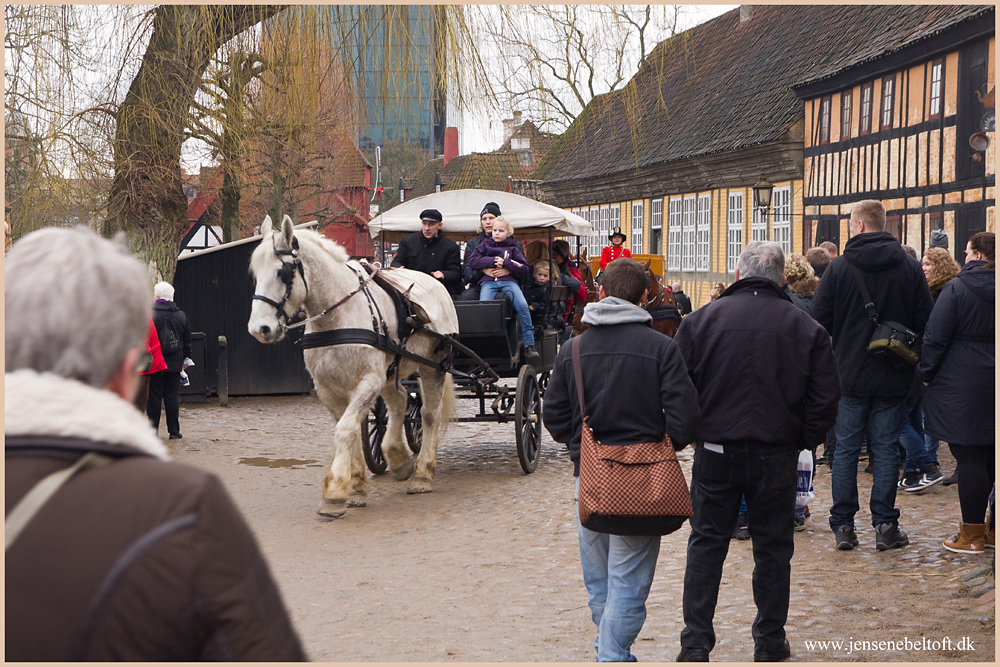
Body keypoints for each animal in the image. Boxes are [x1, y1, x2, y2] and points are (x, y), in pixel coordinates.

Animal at [250, 214, 458, 516]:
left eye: (283, 273)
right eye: (255, 274)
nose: (259, 329)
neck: (337, 318)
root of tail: (434, 281)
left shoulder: (367, 382)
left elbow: (346, 429)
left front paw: (335, 491)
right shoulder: (328, 389)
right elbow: (349, 430)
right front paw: (356, 486)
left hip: (433, 367)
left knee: (429, 414)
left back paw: (422, 473)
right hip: (390, 372)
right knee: (400, 400)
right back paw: (398, 458)